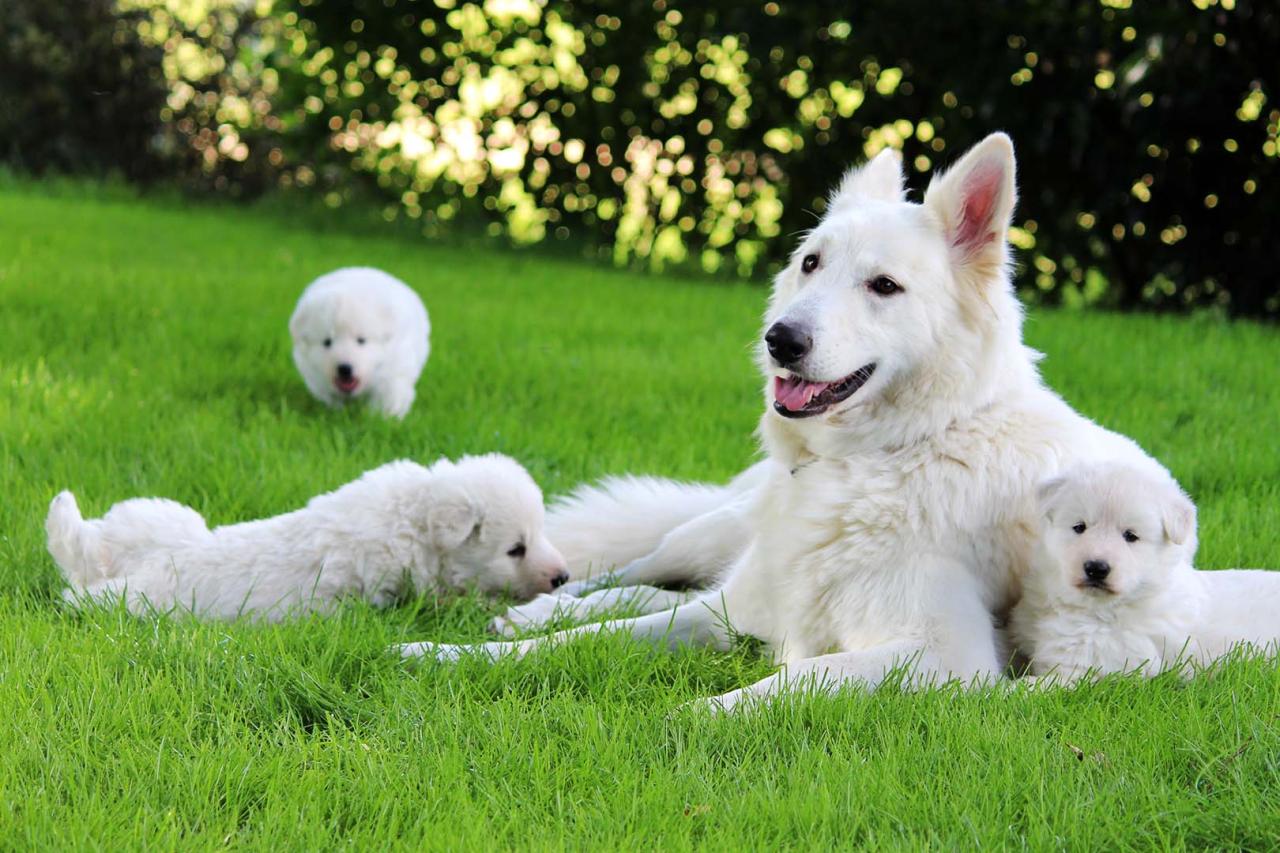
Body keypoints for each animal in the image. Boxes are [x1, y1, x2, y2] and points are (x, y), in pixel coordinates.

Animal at [45, 450, 568, 617]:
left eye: (542, 532)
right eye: (515, 549)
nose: (562, 576)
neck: (414, 518)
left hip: (159, 518)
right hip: (138, 600)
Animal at [290, 262, 430, 414]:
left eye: (361, 340)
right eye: (327, 342)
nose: (344, 369)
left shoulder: (395, 370)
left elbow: (388, 397)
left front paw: (383, 417)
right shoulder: (316, 379)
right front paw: (336, 412)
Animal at [399, 133, 1172, 706]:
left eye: (884, 286)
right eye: (811, 263)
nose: (780, 340)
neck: (876, 461)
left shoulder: (944, 655)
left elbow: (802, 673)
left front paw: (692, 715)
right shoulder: (732, 613)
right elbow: (582, 639)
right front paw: (447, 654)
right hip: (710, 536)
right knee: (625, 578)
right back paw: (533, 607)